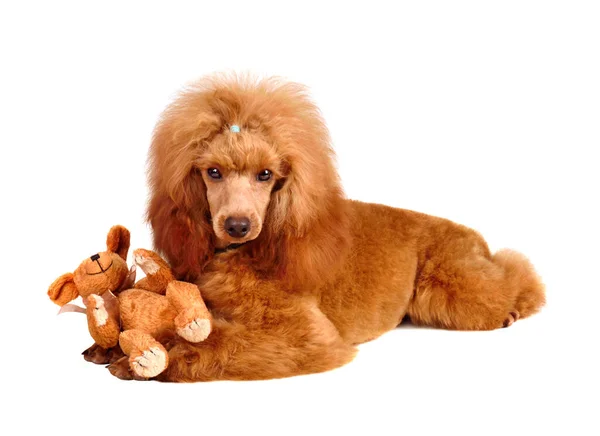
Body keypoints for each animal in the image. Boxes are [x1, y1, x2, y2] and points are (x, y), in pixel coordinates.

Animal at [106, 75, 544, 382]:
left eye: (266, 175)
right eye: (212, 173)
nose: (237, 225)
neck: (242, 252)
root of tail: (471, 235)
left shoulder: (303, 335)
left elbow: (217, 342)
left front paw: (148, 357)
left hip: (449, 283)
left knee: (512, 273)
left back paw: (515, 305)